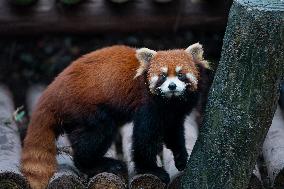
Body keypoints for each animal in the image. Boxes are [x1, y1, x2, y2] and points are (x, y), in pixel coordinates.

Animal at [20, 43, 209, 188]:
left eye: (180, 74)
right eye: (162, 76)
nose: (171, 86)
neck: (171, 102)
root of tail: (52, 91)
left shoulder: (175, 112)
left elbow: (174, 133)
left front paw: (181, 158)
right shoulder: (147, 105)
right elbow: (144, 139)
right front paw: (150, 169)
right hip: (85, 109)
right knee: (95, 135)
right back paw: (98, 163)